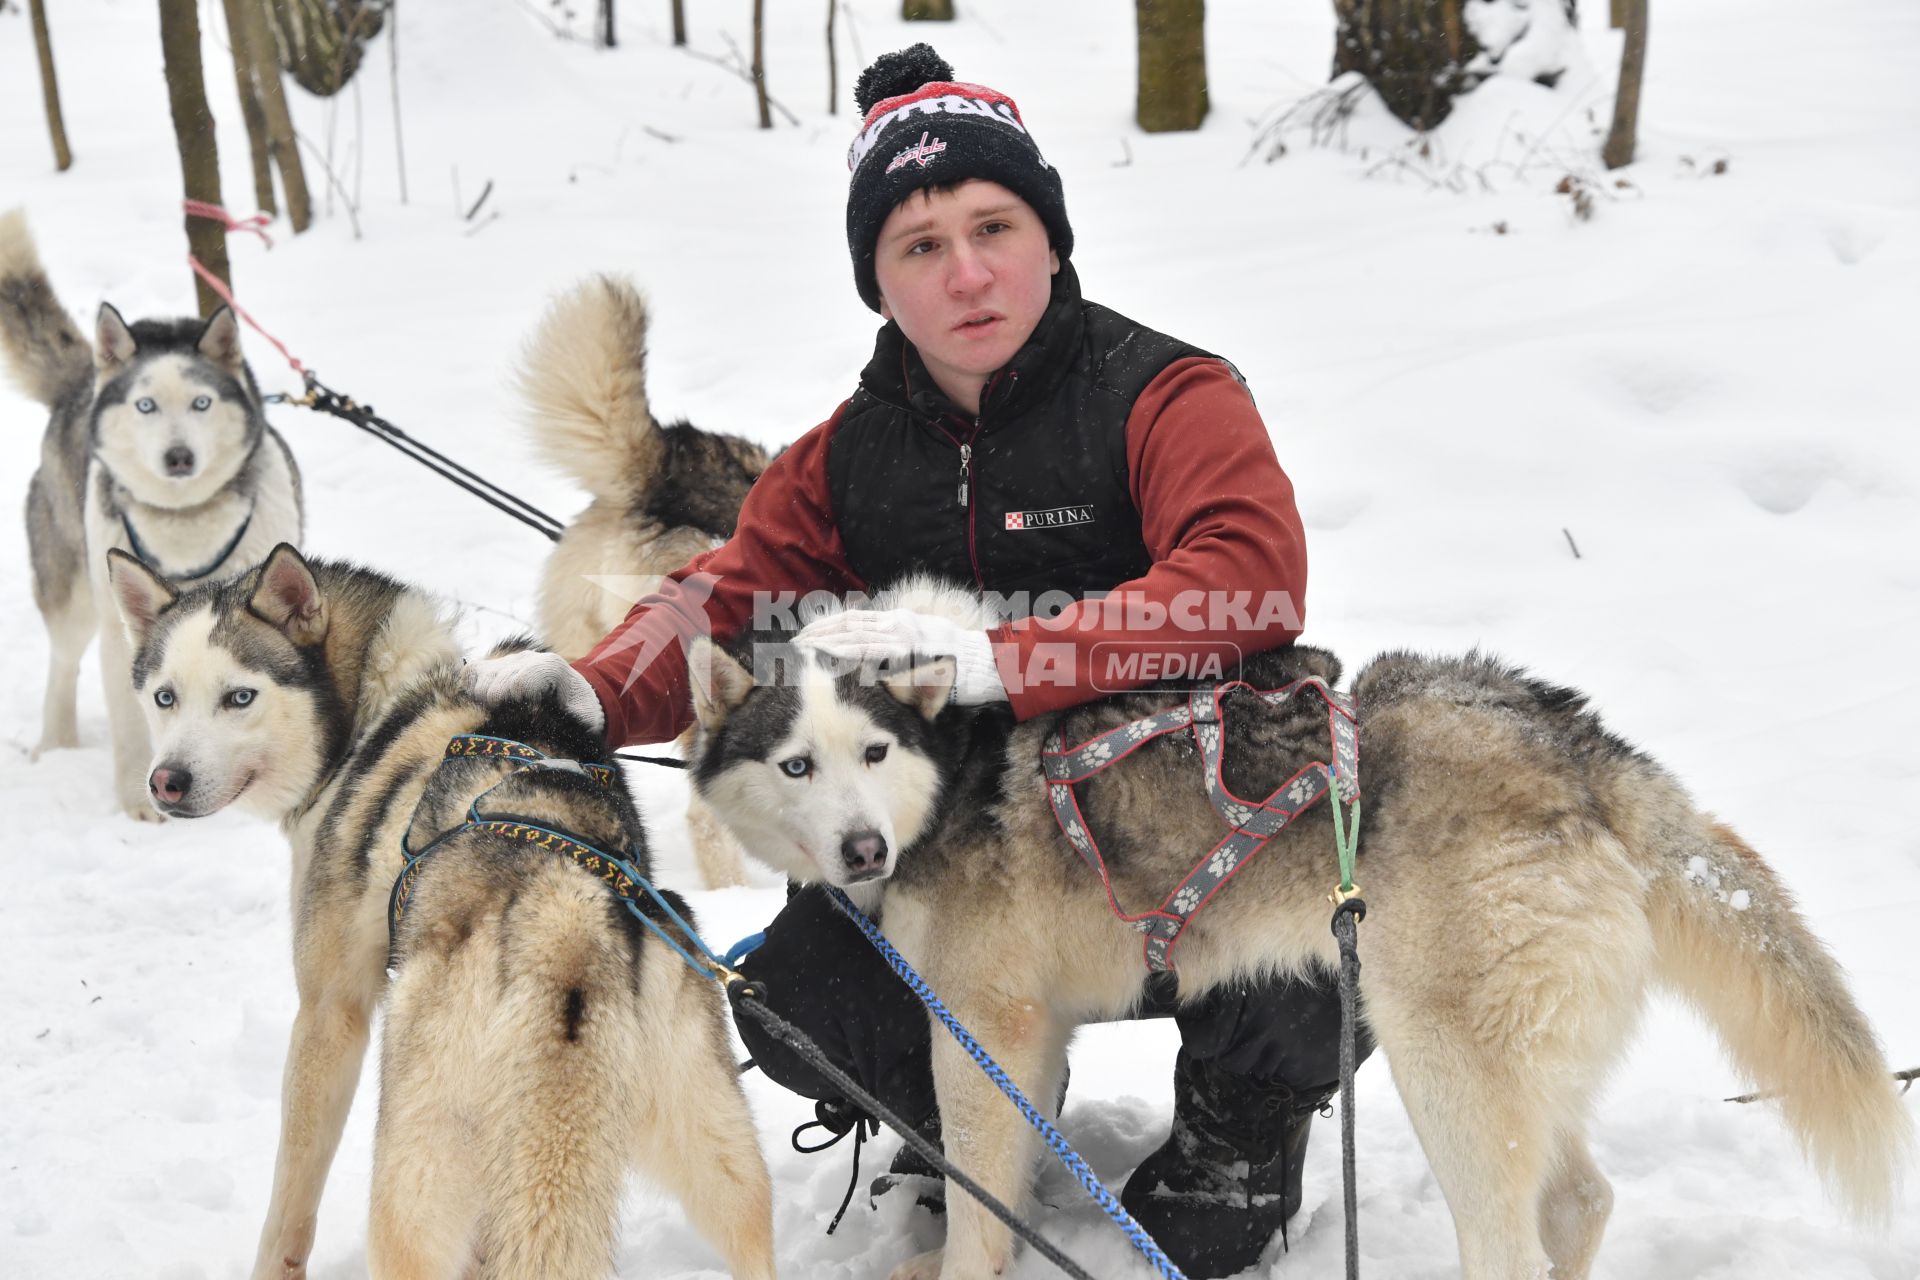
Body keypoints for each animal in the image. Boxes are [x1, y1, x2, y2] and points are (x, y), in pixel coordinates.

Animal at [0, 204, 299, 817]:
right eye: (146, 406)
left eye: (202, 403)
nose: (178, 456)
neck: (185, 528)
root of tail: (84, 383)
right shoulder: (128, 637)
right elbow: (135, 721)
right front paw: (139, 804)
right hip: (72, 592)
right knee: (62, 663)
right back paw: (55, 741)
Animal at [105, 545, 775, 1280]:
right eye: (165, 696)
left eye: (240, 697)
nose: (167, 782)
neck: (375, 706)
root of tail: (563, 919)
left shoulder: (329, 1014)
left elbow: (290, 1201)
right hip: (719, 1154)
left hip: (414, 1173)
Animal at [687, 583, 1904, 1280]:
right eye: (795, 764)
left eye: (870, 753)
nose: (859, 852)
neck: (954, 769)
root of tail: (1579, 745)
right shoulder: (1023, 1032)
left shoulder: (984, 1024)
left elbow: (984, 1205)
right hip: (1506, 1061)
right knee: (1580, 1201)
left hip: (1442, 1061)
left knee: (1512, 1241)